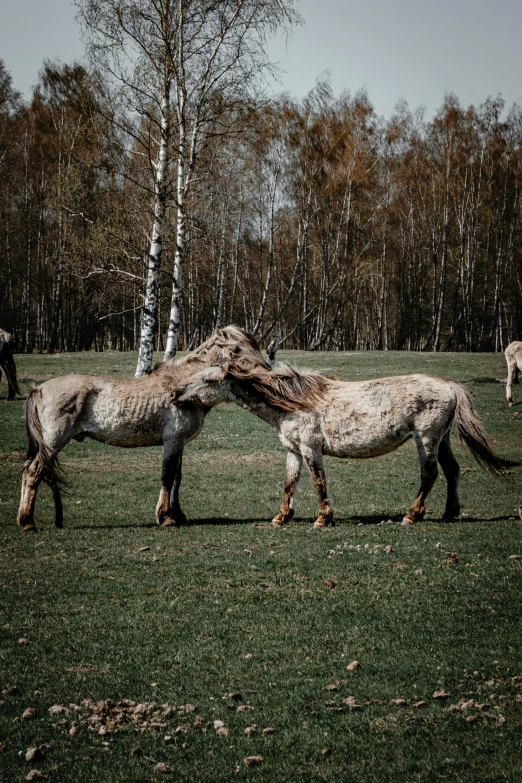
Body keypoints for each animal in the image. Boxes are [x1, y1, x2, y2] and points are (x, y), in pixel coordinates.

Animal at [16, 324, 268, 532]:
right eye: (236, 349)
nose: (266, 368)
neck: (179, 387)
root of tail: (39, 389)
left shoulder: (180, 443)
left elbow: (177, 478)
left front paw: (178, 514)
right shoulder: (172, 441)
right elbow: (167, 475)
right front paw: (165, 517)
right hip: (53, 443)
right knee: (32, 472)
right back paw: (27, 522)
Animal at [172, 358, 508, 528]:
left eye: (207, 380)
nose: (175, 393)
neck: (295, 403)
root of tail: (449, 385)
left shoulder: (311, 449)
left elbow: (318, 482)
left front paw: (323, 519)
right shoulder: (292, 450)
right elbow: (289, 483)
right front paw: (281, 517)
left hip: (426, 440)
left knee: (430, 475)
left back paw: (412, 515)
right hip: (442, 439)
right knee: (452, 471)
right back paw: (450, 513)